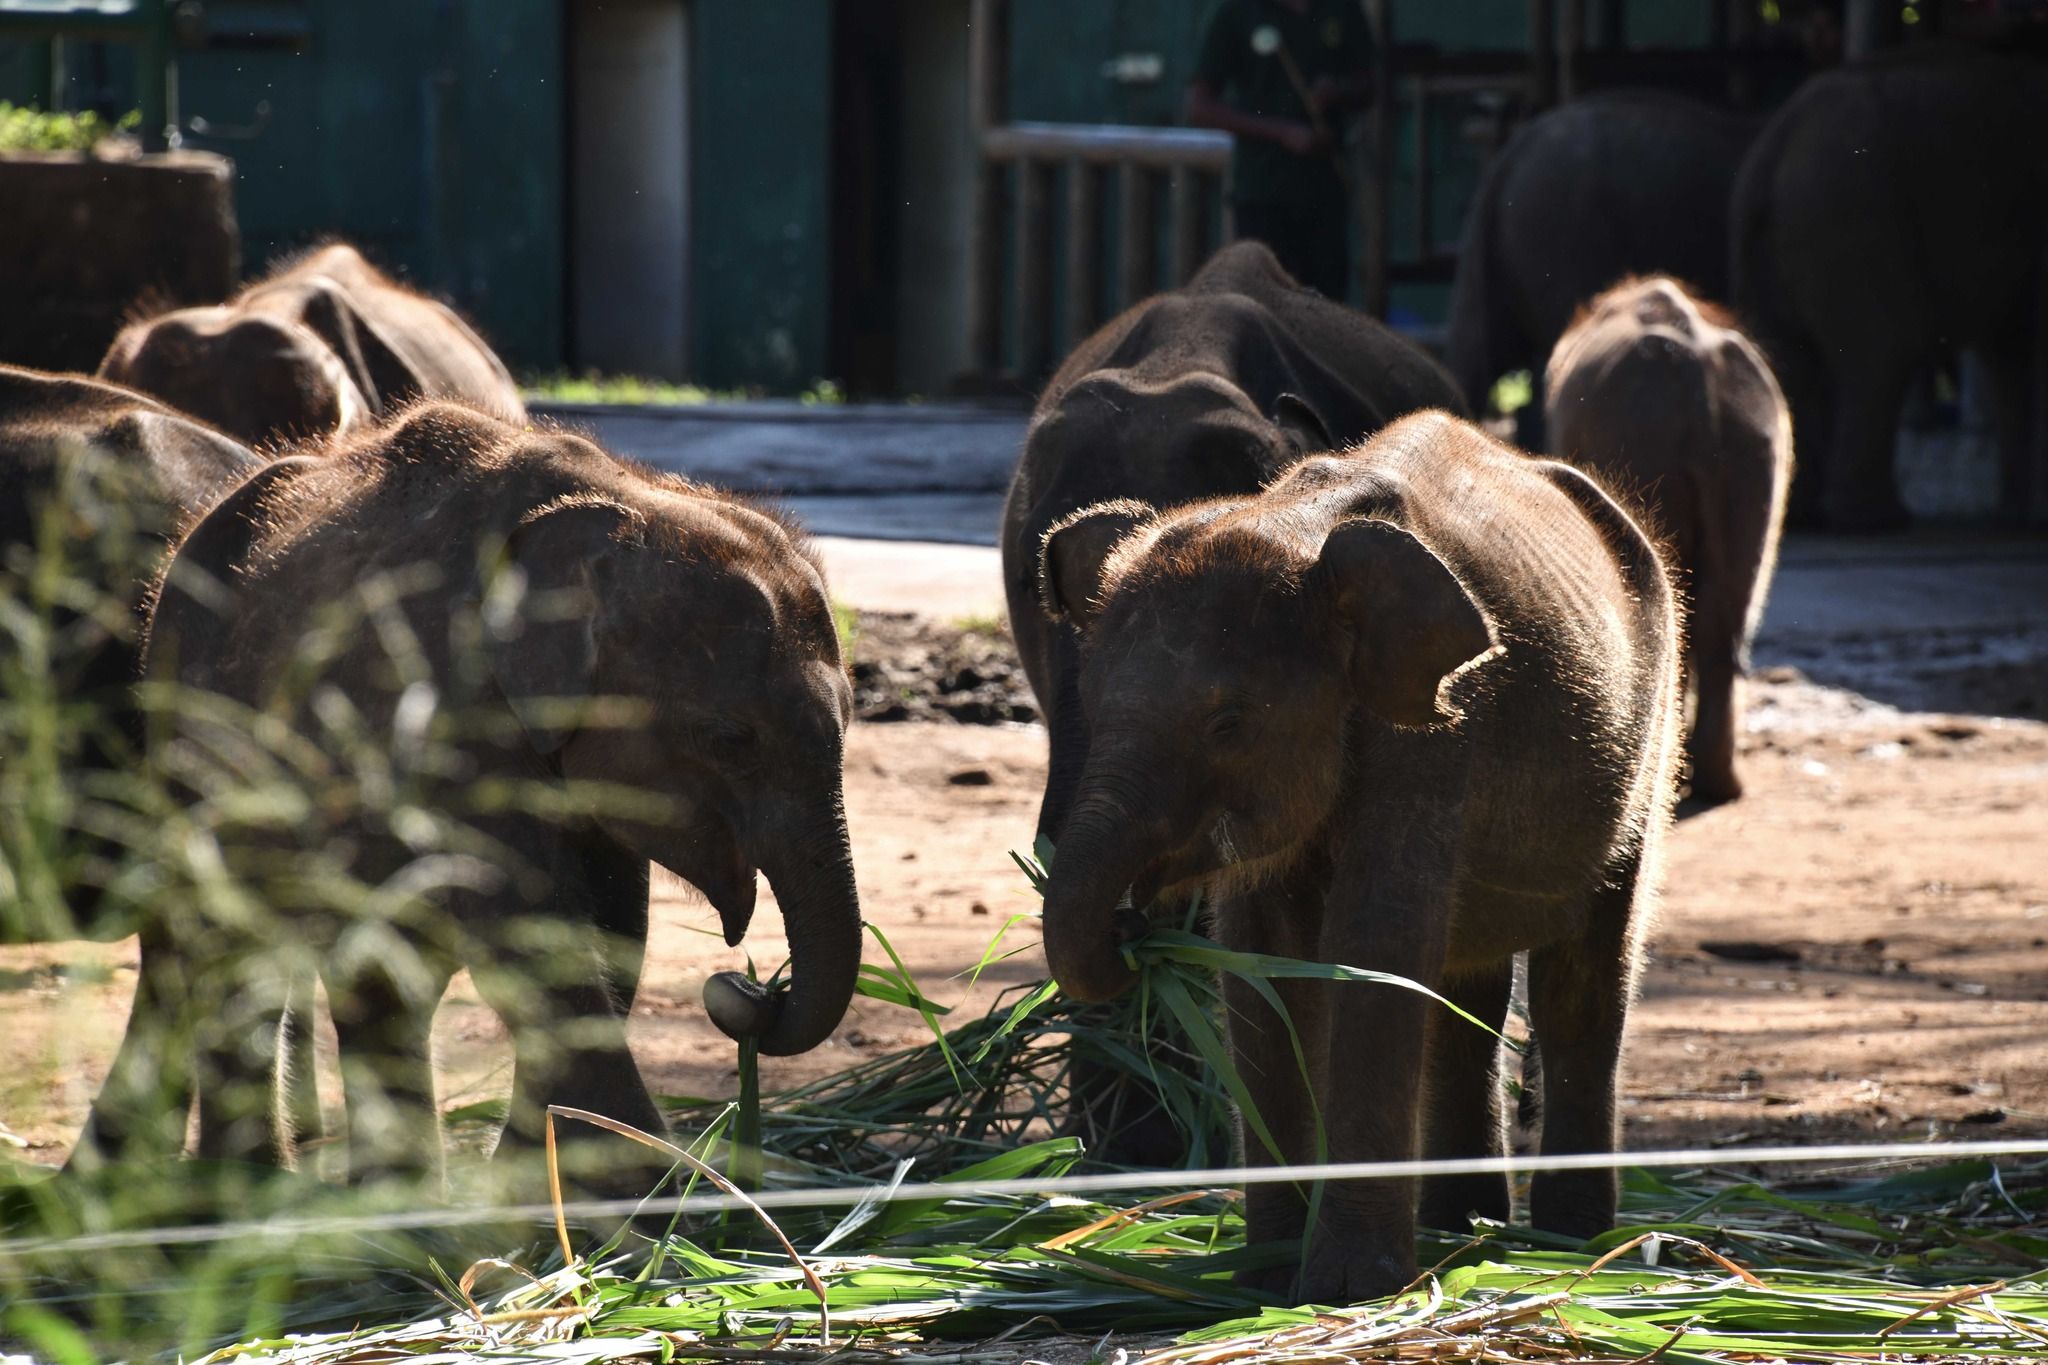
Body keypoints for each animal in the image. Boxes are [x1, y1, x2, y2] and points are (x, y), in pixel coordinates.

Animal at [76, 402, 861, 1191]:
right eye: (732, 739)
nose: (750, 987)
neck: (621, 502)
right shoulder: (452, 707)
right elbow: (528, 923)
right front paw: (659, 1201)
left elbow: (613, 929)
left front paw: (540, 1186)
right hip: (181, 722)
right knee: (226, 940)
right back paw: (251, 1194)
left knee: (371, 973)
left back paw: (387, 1204)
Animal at [1035, 409, 1681, 1302]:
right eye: (1093, 708)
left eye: (1229, 725)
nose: (1133, 930)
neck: (1288, 522)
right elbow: (1264, 962)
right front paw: (1266, 1276)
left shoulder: (1438, 734)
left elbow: (1374, 944)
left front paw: (1348, 1287)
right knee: (1467, 1000)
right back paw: (1464, 1227)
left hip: (1649, 737)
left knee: (1582, 981)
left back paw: (1568, 1243)